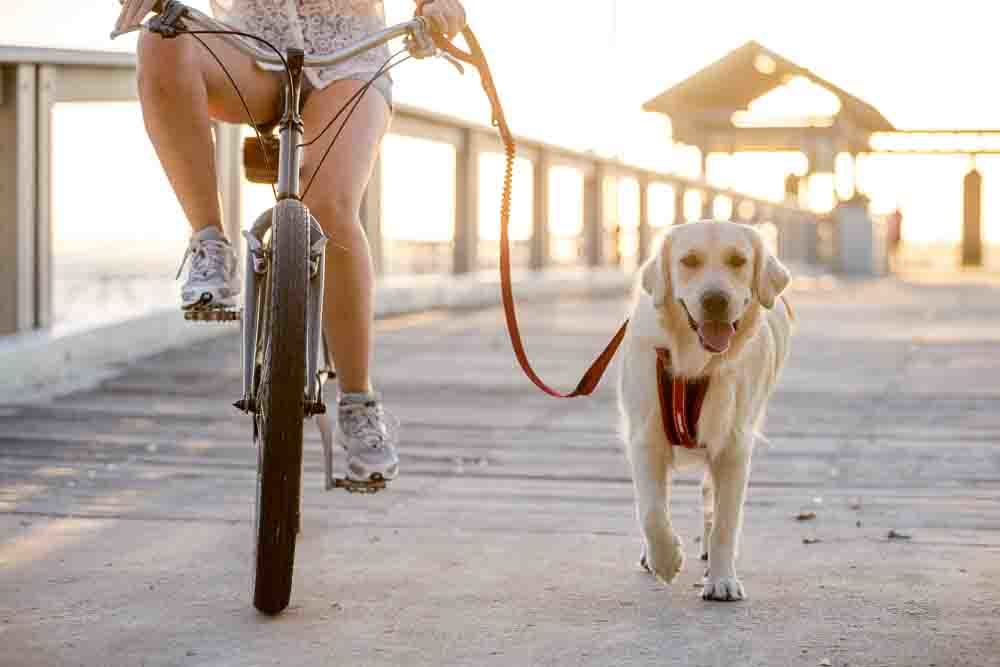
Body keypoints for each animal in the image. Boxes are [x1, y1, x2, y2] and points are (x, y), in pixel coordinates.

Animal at [616, 222, 788, 604]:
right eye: (689, 261)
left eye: (738, 260)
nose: (715, 300)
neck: (695, 363)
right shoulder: (645, 438)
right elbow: (651, 510)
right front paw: (665, 559)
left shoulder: (734, 446)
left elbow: (725, 521)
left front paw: (722, 580)